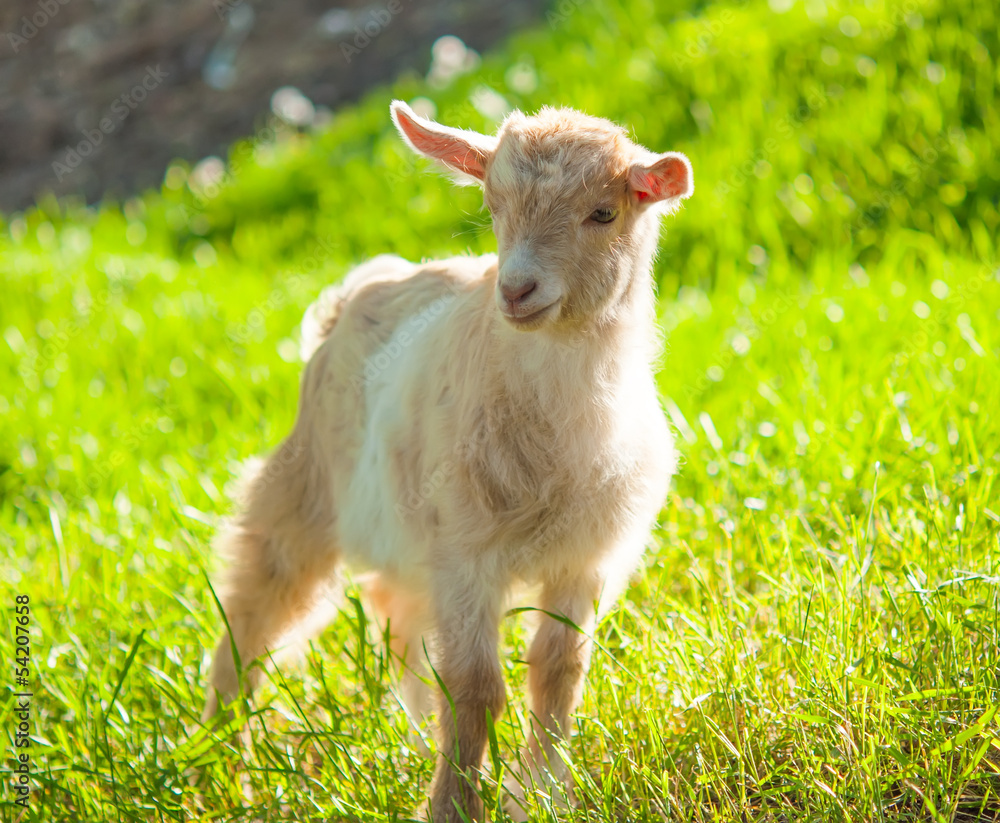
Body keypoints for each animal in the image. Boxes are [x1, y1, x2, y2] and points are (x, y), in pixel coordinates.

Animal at [202, 100, 693, 821]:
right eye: (492, 203)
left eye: (604, 212)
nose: (516, 289)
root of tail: (360, 287)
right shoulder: (467, 552)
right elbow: (476, 685)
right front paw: (456, 805)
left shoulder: (586, 556)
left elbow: (558, 670)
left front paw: (542, 791)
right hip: (303, 493)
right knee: (253, 611)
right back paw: (215, 762)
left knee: (401, 623)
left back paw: (408, 743)